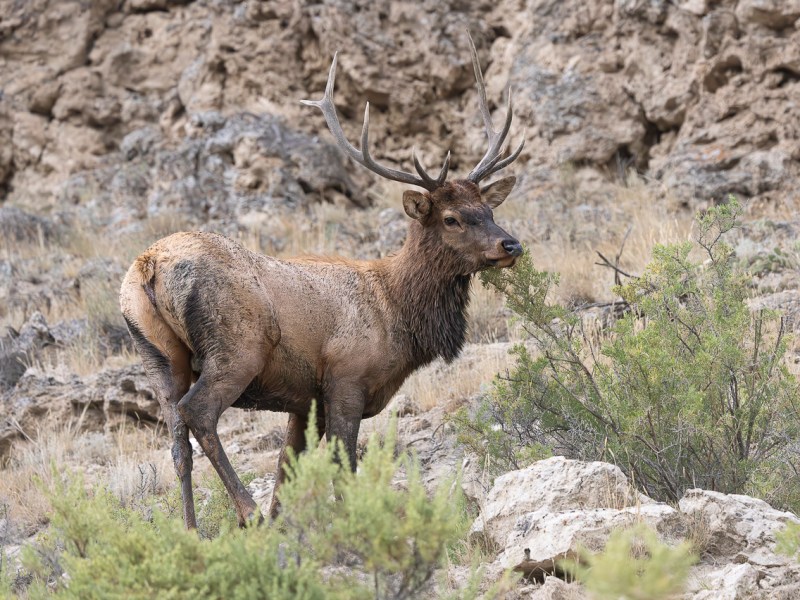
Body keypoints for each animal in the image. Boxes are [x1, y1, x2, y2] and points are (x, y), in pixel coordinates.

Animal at [119, 35, 525, 529]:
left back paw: (192, 531)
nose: (511, 245)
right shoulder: (345, 378)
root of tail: (149, 265)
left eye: (488, 209)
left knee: (177, 442)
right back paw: (246, 512)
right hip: (236, 348)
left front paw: (283, 526)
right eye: (452, 218)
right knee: (197, 414)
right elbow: (343, 465)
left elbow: (286, 471)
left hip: (158, 357)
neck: (397, 315)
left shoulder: (304, 400)